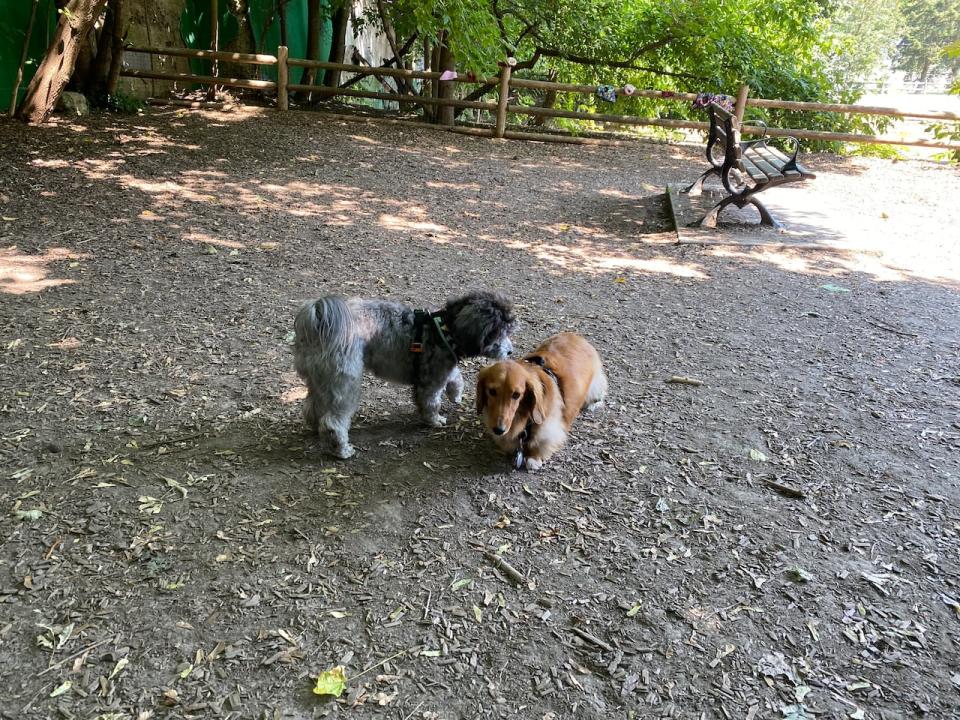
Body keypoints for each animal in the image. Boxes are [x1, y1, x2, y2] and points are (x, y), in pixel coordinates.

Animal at [294, 290, 512, 458]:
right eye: (499, 332)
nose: (510, 351)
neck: (443, 330)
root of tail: (319, 326)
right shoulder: (432, 379)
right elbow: (431, 402)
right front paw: (434, 420)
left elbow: (455, 376)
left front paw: (455, 393)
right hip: (345, 383)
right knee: (333, 421)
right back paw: (341, 450)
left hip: (321, 381)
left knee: (313, 406)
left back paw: (315, 428)